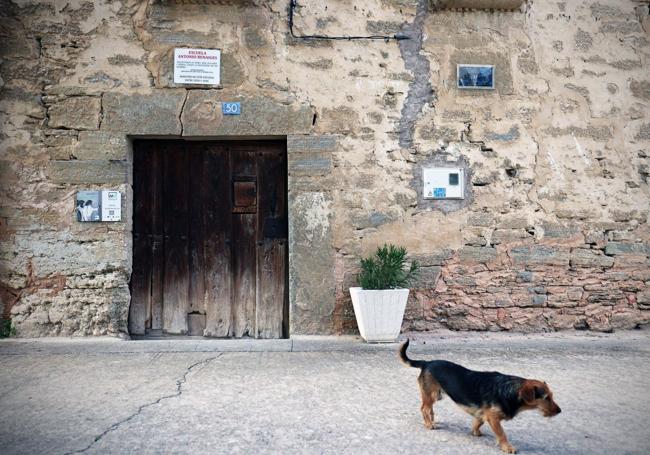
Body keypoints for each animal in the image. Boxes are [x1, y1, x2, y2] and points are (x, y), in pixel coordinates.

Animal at [398, 340, 560, 454]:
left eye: (552, 396)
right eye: (546, 398)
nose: (560, 411)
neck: (509, 390)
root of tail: (427, 362)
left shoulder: (483, 413)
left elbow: (478, 421)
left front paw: (475, 432)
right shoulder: (493, 417)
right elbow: (502, 434)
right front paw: (507, 447)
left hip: (435, 395)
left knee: (429, 409)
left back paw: (431, 421)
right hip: (431, 394)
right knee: (424, 408)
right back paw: (429, 424)